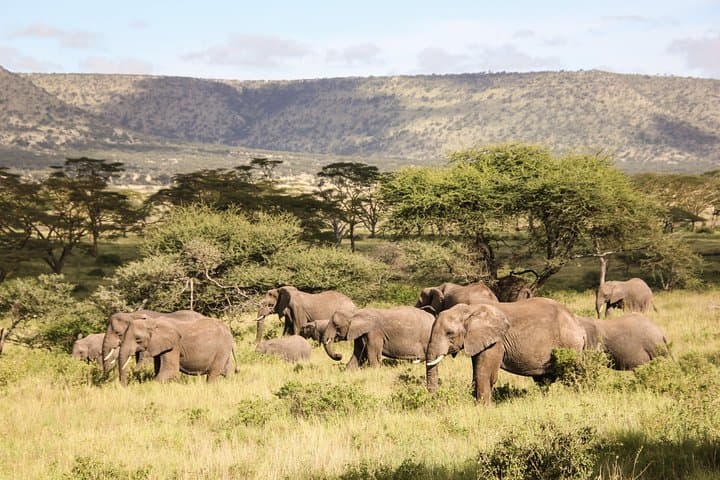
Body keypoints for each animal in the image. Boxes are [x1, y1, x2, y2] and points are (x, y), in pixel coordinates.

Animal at [425, 298, 586, 405]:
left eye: (449, 333)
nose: (434, 399)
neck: (471, 310)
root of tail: (578, 325)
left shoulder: (496, 342)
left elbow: (484, 373)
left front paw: (483, 408)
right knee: (544, 381)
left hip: (570, 344)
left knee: (572, 373)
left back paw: (577, 396)